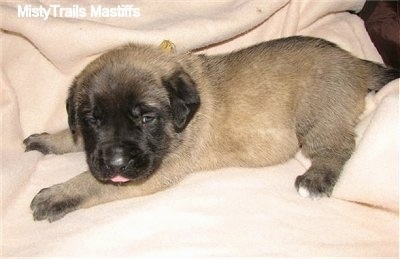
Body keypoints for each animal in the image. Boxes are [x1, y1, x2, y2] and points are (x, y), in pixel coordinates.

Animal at [23, 37, 398, 223]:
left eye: (145, 118)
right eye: (93, 119)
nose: (114, 163)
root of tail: (354, 62)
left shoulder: (155, 173)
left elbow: (92, 184)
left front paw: (58, 194)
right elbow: (73, 138)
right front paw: (48, 139)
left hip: (317, 112)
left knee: (340, 145)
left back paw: (317, 178)